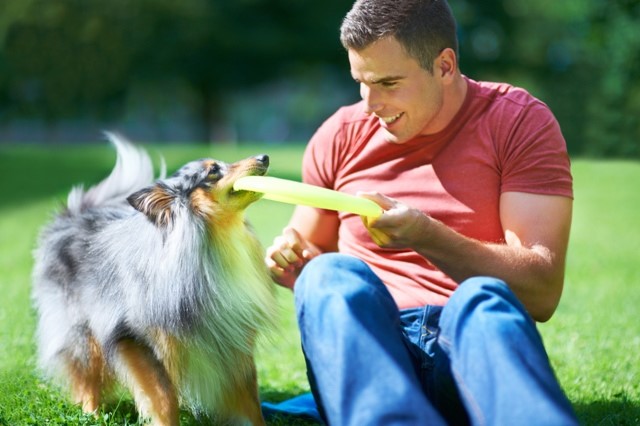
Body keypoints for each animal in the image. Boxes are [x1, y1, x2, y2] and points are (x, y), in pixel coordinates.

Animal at [31, 134, 278, 426]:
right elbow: (162, 396)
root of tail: (73, 215)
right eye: (213, 171)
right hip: (82, 332)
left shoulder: (233, 340)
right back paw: (92, 413)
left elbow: (249, 400)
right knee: (86, 375)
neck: (214, 243)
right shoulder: (137, 341)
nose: (264, 157)